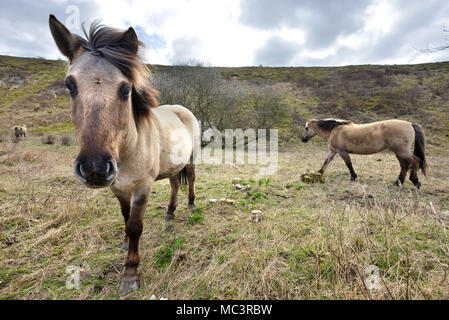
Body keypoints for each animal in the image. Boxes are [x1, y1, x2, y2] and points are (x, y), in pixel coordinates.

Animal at [48, 15, 200, 296]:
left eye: (126, 89)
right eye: (69, 86)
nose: (94, 168)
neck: (128, 148)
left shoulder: (142, 187)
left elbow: (135, 226)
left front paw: (130, 274)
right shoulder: (118, 187)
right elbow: (124, 218)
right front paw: (124, 244)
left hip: (192, 159)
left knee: (191, 180)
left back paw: (191, 206)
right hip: (172, 166)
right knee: (175, 184)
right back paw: (170, 213)